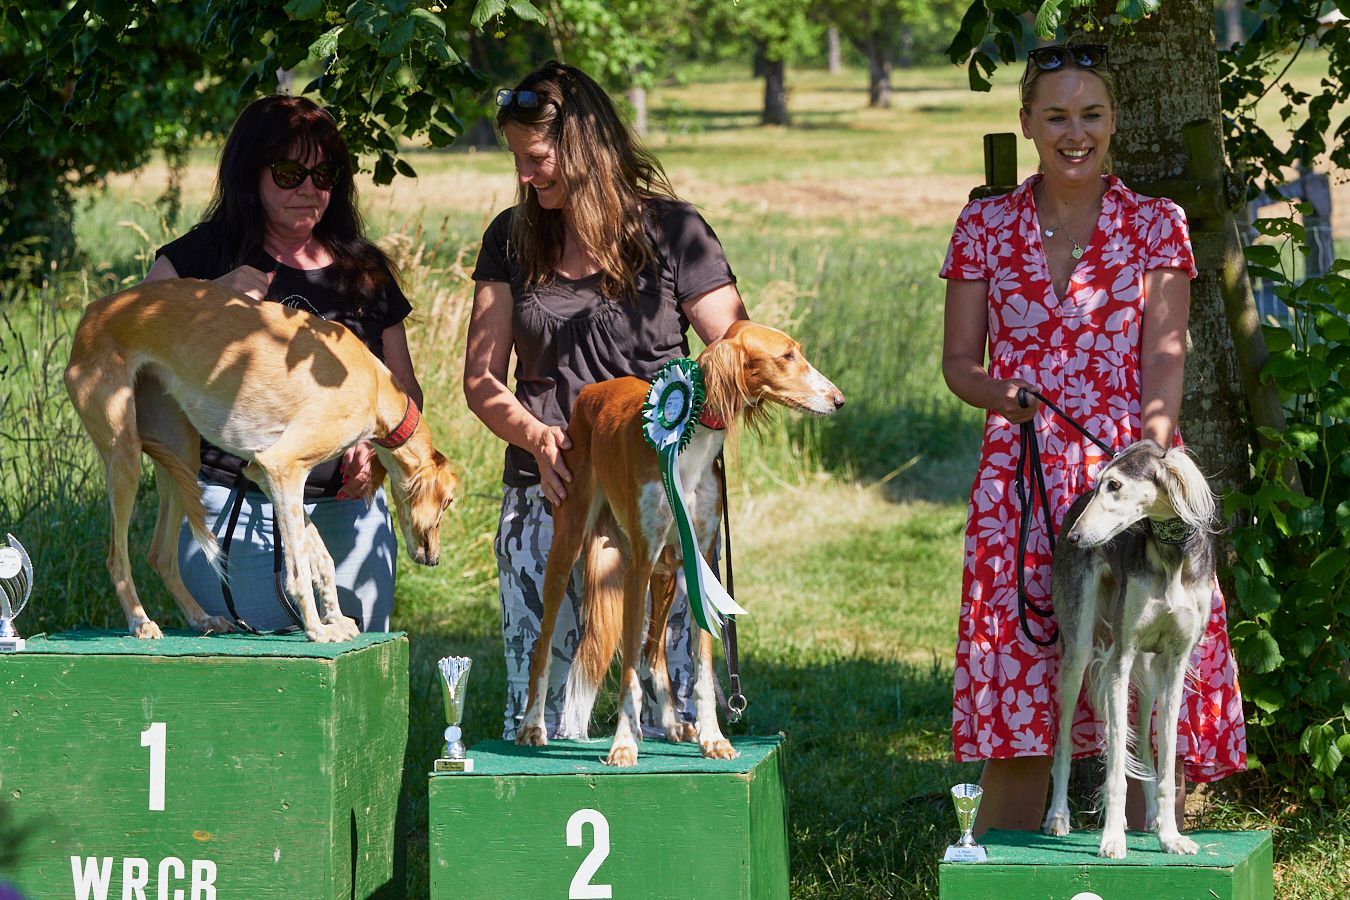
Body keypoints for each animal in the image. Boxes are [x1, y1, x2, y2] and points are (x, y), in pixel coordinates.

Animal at [64, 279, 458, 642]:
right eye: (449, 502)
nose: (434, 559)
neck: (374, 385)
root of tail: (93, 311)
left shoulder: (263, 474)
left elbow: (321, 557)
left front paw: (337, 619)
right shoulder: (284, 467)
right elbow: (298, 569)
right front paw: (317, 629)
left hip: (180, 455)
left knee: (160, 554)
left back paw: (201, 618)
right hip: (124, 452)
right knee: (117, 558)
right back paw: (140, 621)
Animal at [516, 321, 844, 766]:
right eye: (787, 356)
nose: (838, 400)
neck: (691, 439)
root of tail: (591, 391)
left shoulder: (699, 557)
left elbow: (701, 668)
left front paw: (714, 738)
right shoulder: (638, 565)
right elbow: (628, 673)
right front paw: (623, 744)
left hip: (668, 570)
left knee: (654, 652)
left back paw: (672, 724)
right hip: (571, 542)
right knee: (545, 646)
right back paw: (533, 726)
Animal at [1041, 439, 1217, 858]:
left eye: (1116, 486)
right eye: (1100, 484)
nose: (1074, 538)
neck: (1171, 559)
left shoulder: (1174, 665)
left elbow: (1165, 767)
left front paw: (1170, 836)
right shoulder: (1120, 660)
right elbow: (1116, 769)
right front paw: (1111, 840)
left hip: (1150, 672)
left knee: (1145, 748)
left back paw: (1151, 819)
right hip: (1078, 651)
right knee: (1064, 743)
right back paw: (1058, 816)